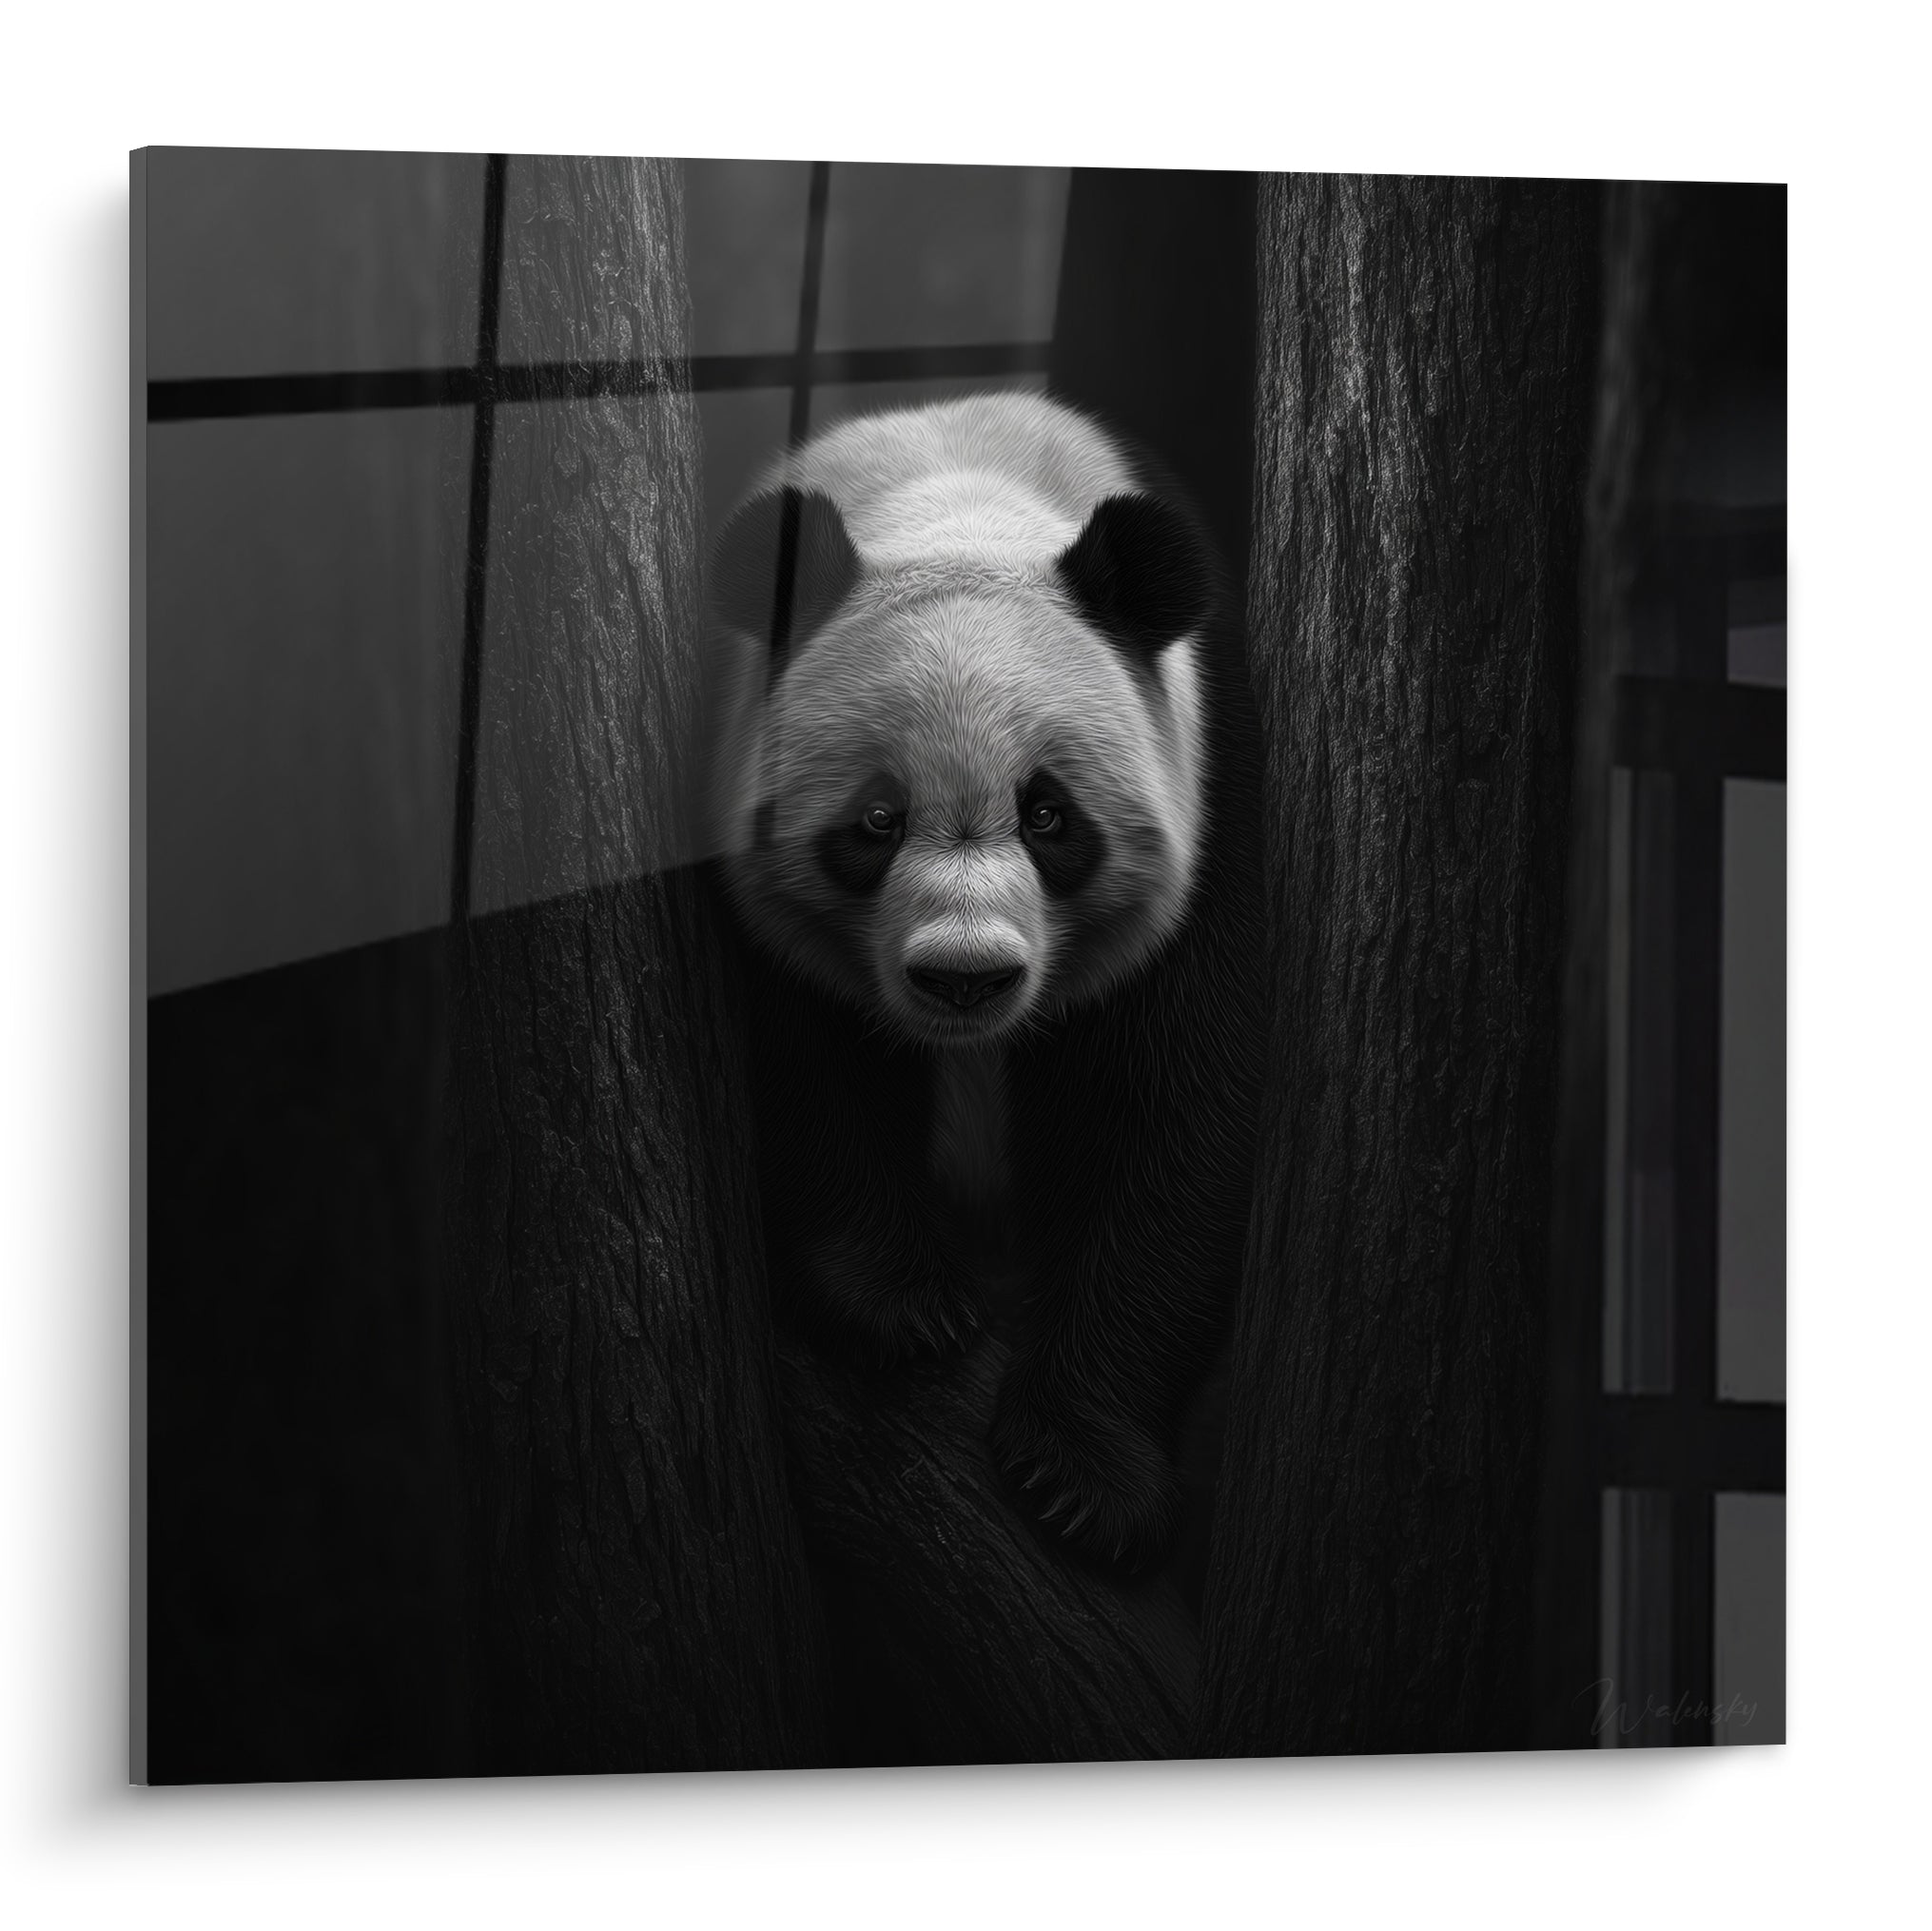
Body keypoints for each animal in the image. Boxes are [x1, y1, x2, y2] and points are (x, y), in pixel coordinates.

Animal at [705, 391, 1263, 1571]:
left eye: (1049, 814)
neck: (958, 504)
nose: (965, 978)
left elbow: (1172, 1103)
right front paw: (905, 1304)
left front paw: (1082, 1473)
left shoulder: (1217, 786)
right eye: (876, 820)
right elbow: (803, 1057)